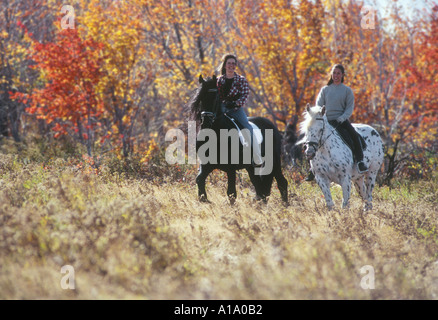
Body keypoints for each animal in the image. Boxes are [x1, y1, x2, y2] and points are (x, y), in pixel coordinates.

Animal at [187, 75, 288, 204]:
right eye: (200, 99)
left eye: (215, 98)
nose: (205, 124)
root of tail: (271, 124)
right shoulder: (206, 165)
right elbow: (199, 180)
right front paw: (206, 201)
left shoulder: (231, 168)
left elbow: (231, 193)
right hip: (251, 167)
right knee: (259, 186)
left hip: (273, 162)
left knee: (281, 182)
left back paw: (285, 205)